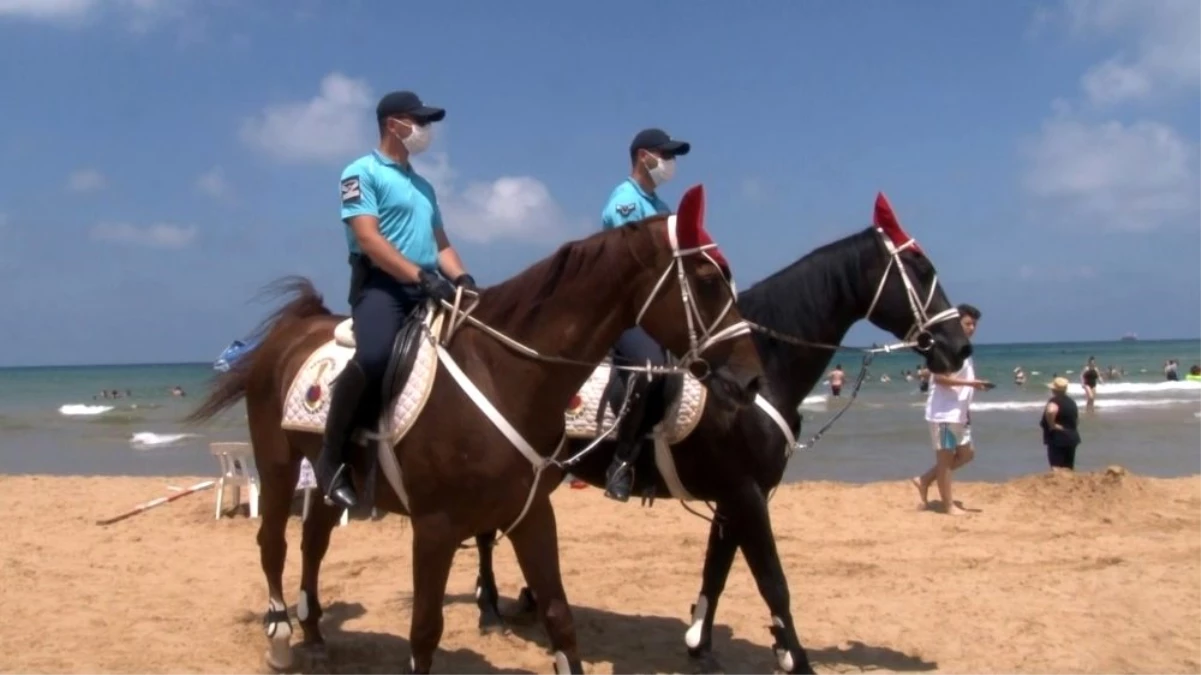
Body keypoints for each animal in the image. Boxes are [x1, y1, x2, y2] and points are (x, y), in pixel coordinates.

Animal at [182, 184, 763, 672]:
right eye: (707, 281)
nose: (752, 377)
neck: (504, 372)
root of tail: (294, 330)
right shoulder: (434, 527)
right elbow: (424, 632)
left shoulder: (532, 515)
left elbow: (559, 618)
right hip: (278, 465)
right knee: (273, 543)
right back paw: (281, 637)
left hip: (330, 479)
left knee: (313, 542)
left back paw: (315, 634)